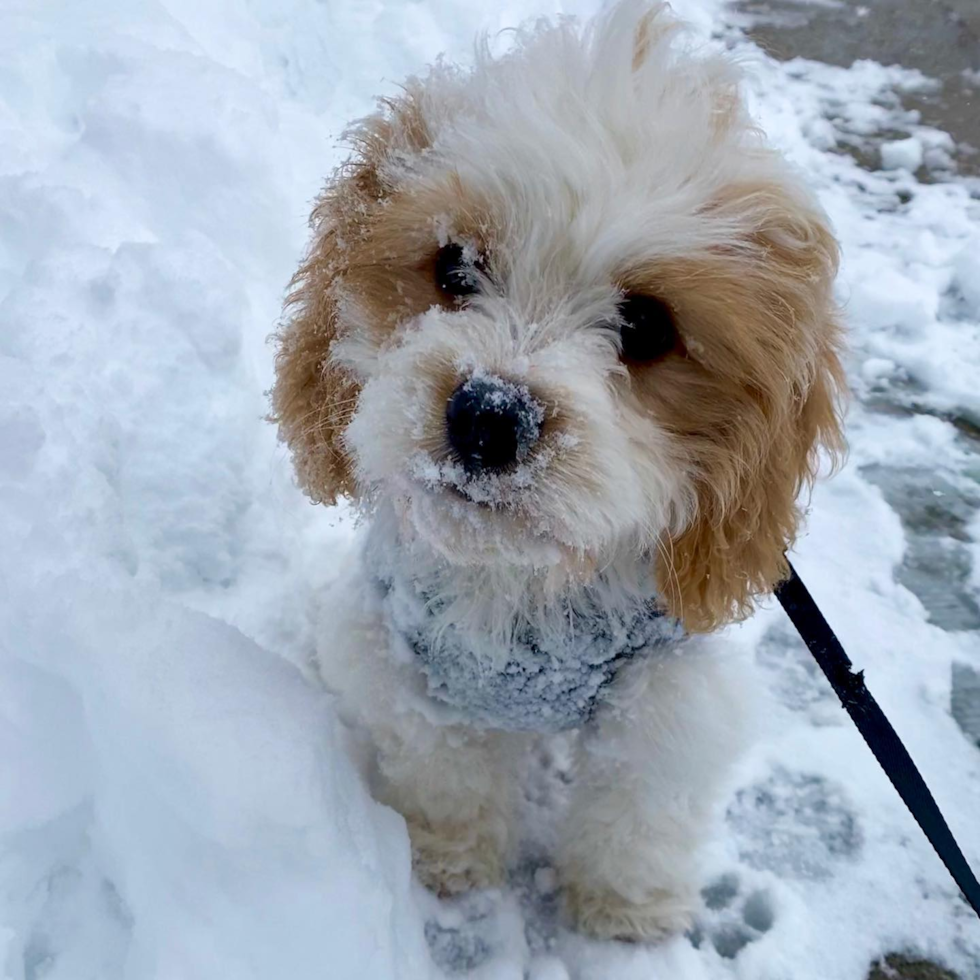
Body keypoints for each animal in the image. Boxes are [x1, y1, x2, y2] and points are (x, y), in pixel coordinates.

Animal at [270, 1, 844, 948]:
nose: (487, 415)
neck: (517, 584)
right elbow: (445, 771)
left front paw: (624, 913)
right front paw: (448, 862)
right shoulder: (406, 663)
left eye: (646, 326)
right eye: (453, 266)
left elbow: (638, 808)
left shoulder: (666, 692)